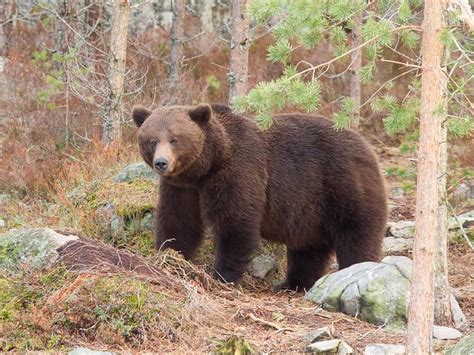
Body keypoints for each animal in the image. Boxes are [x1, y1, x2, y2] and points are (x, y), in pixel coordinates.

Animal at [132, 103, 388, 292]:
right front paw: (169, 255)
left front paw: (222, 274)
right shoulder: (182, 188)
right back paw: (292, 284)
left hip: (343, 185)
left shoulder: (240, 170)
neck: (207, 166)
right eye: (152, 140)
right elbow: (179, 221)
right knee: (307, 249)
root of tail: (367, 145)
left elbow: (236, 223)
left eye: (174, 139)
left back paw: (353, 269)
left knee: (356, 234)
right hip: (310, 211)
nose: (161, 163)